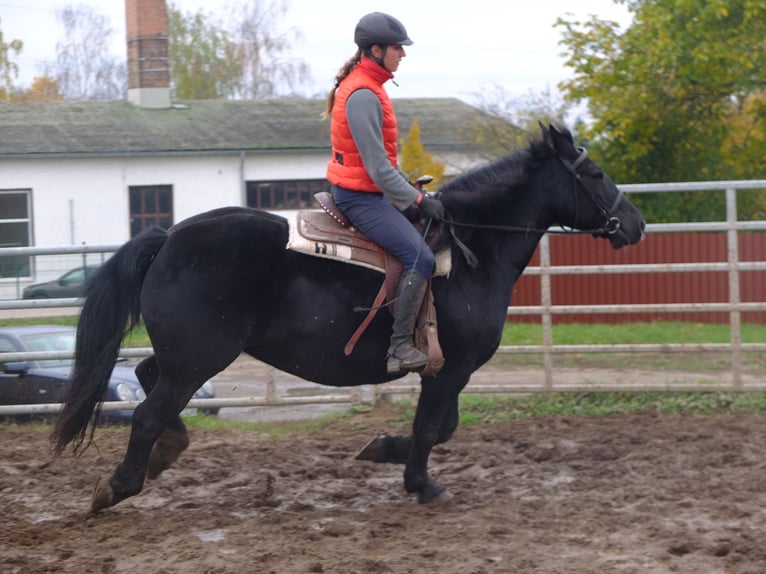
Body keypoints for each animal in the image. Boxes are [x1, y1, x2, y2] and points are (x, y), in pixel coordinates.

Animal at [51, 125, 644, 512]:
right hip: (198, 358)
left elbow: (442, 427)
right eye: (593, 172)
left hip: (185, 356)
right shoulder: (449, 369)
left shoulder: (448, 372)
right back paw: (118, 486)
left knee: (148, 380)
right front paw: (419, 482)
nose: (635, 223)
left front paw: (382, 450)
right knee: (148, 412)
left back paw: (161, 456)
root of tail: (169, 236)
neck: (469, 248)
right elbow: (432, 427)